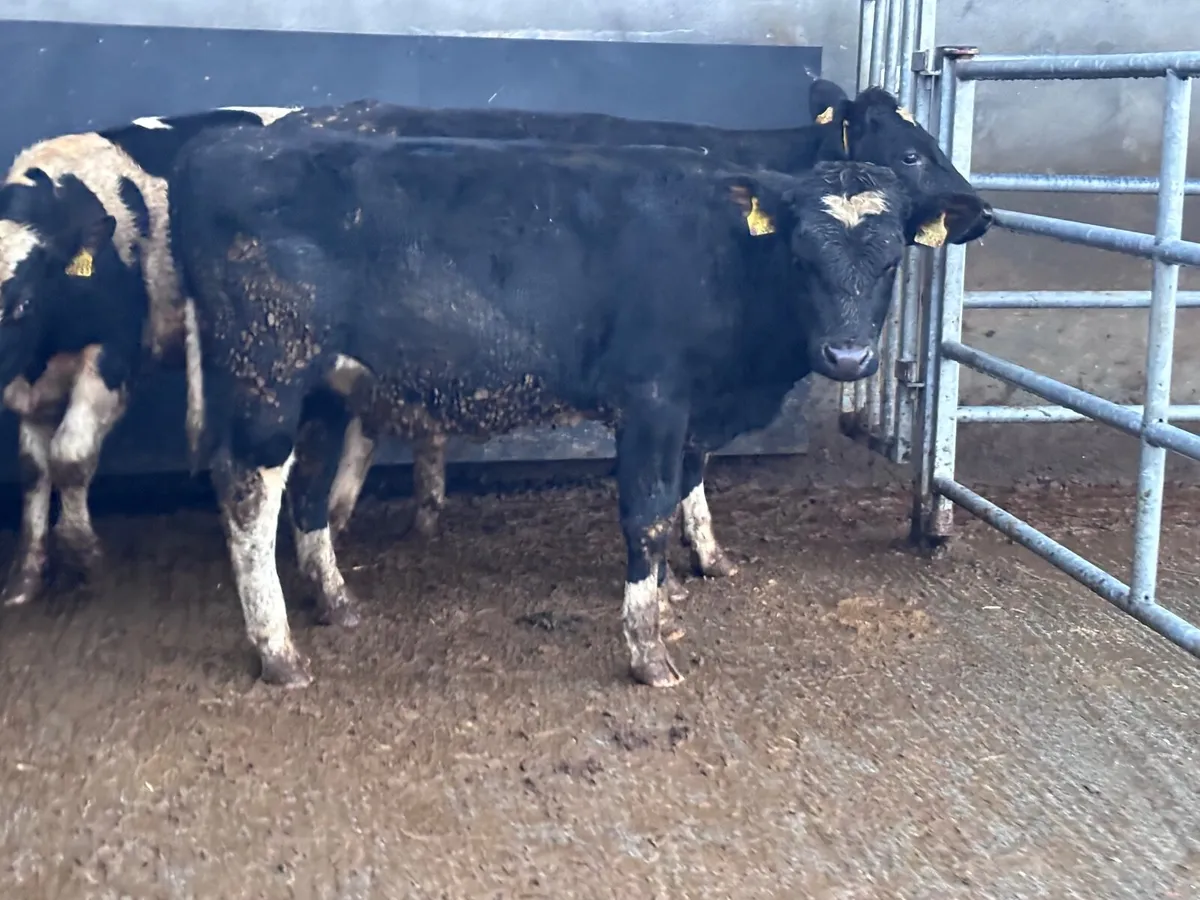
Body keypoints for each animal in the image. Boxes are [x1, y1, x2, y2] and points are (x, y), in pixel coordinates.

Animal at [0, 106, 307, 607]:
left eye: (22, 303)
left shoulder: (114, 356)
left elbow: (70, 455)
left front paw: (84, 553)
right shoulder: (30, 383)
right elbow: (32, 468)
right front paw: (25, 576)